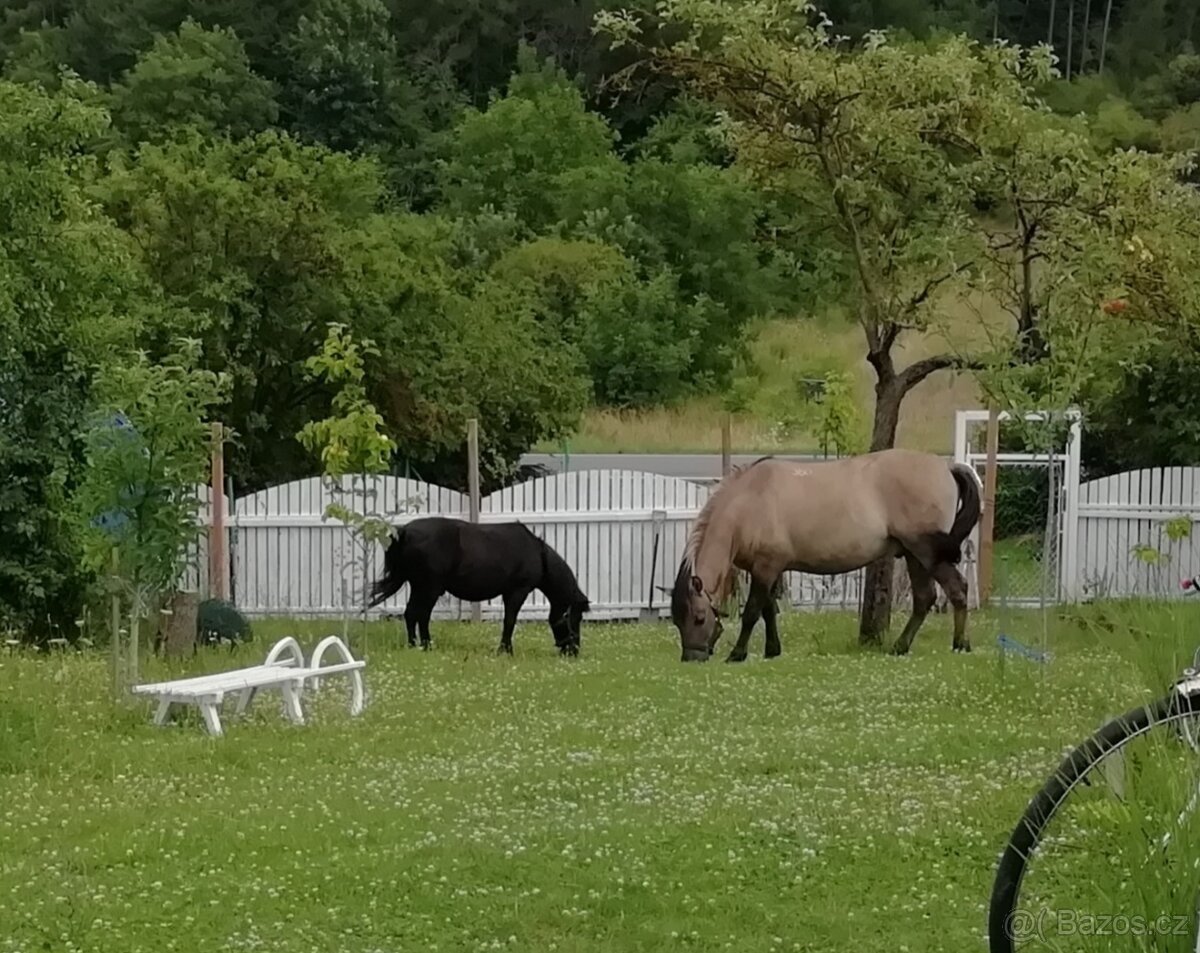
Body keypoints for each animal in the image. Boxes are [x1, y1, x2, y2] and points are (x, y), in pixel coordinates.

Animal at [367, 517, 591, 655]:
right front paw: (505, 650)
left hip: (420, 587)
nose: (574, 651)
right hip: (429, 588)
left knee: (412, 614)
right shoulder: (517, 591)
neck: (537, 553)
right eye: (576, 617)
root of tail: (404, 531)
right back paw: (425, 646)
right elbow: (510, 621)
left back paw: (416, 645)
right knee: (419, 615)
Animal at [669, 449, 982, 663]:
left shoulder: (766, 568)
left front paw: (737, 653)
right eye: (677, 620)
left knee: (957, 589)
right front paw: (772, 650)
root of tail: (946, 467)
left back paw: (960, 644)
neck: (749, 501)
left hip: (927, 553)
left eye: (699, 618)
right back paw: (900, 647)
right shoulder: (769, 569)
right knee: (924, 598)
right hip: (913, 555)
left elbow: (752, 612)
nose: (692, 658)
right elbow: (769, 610)